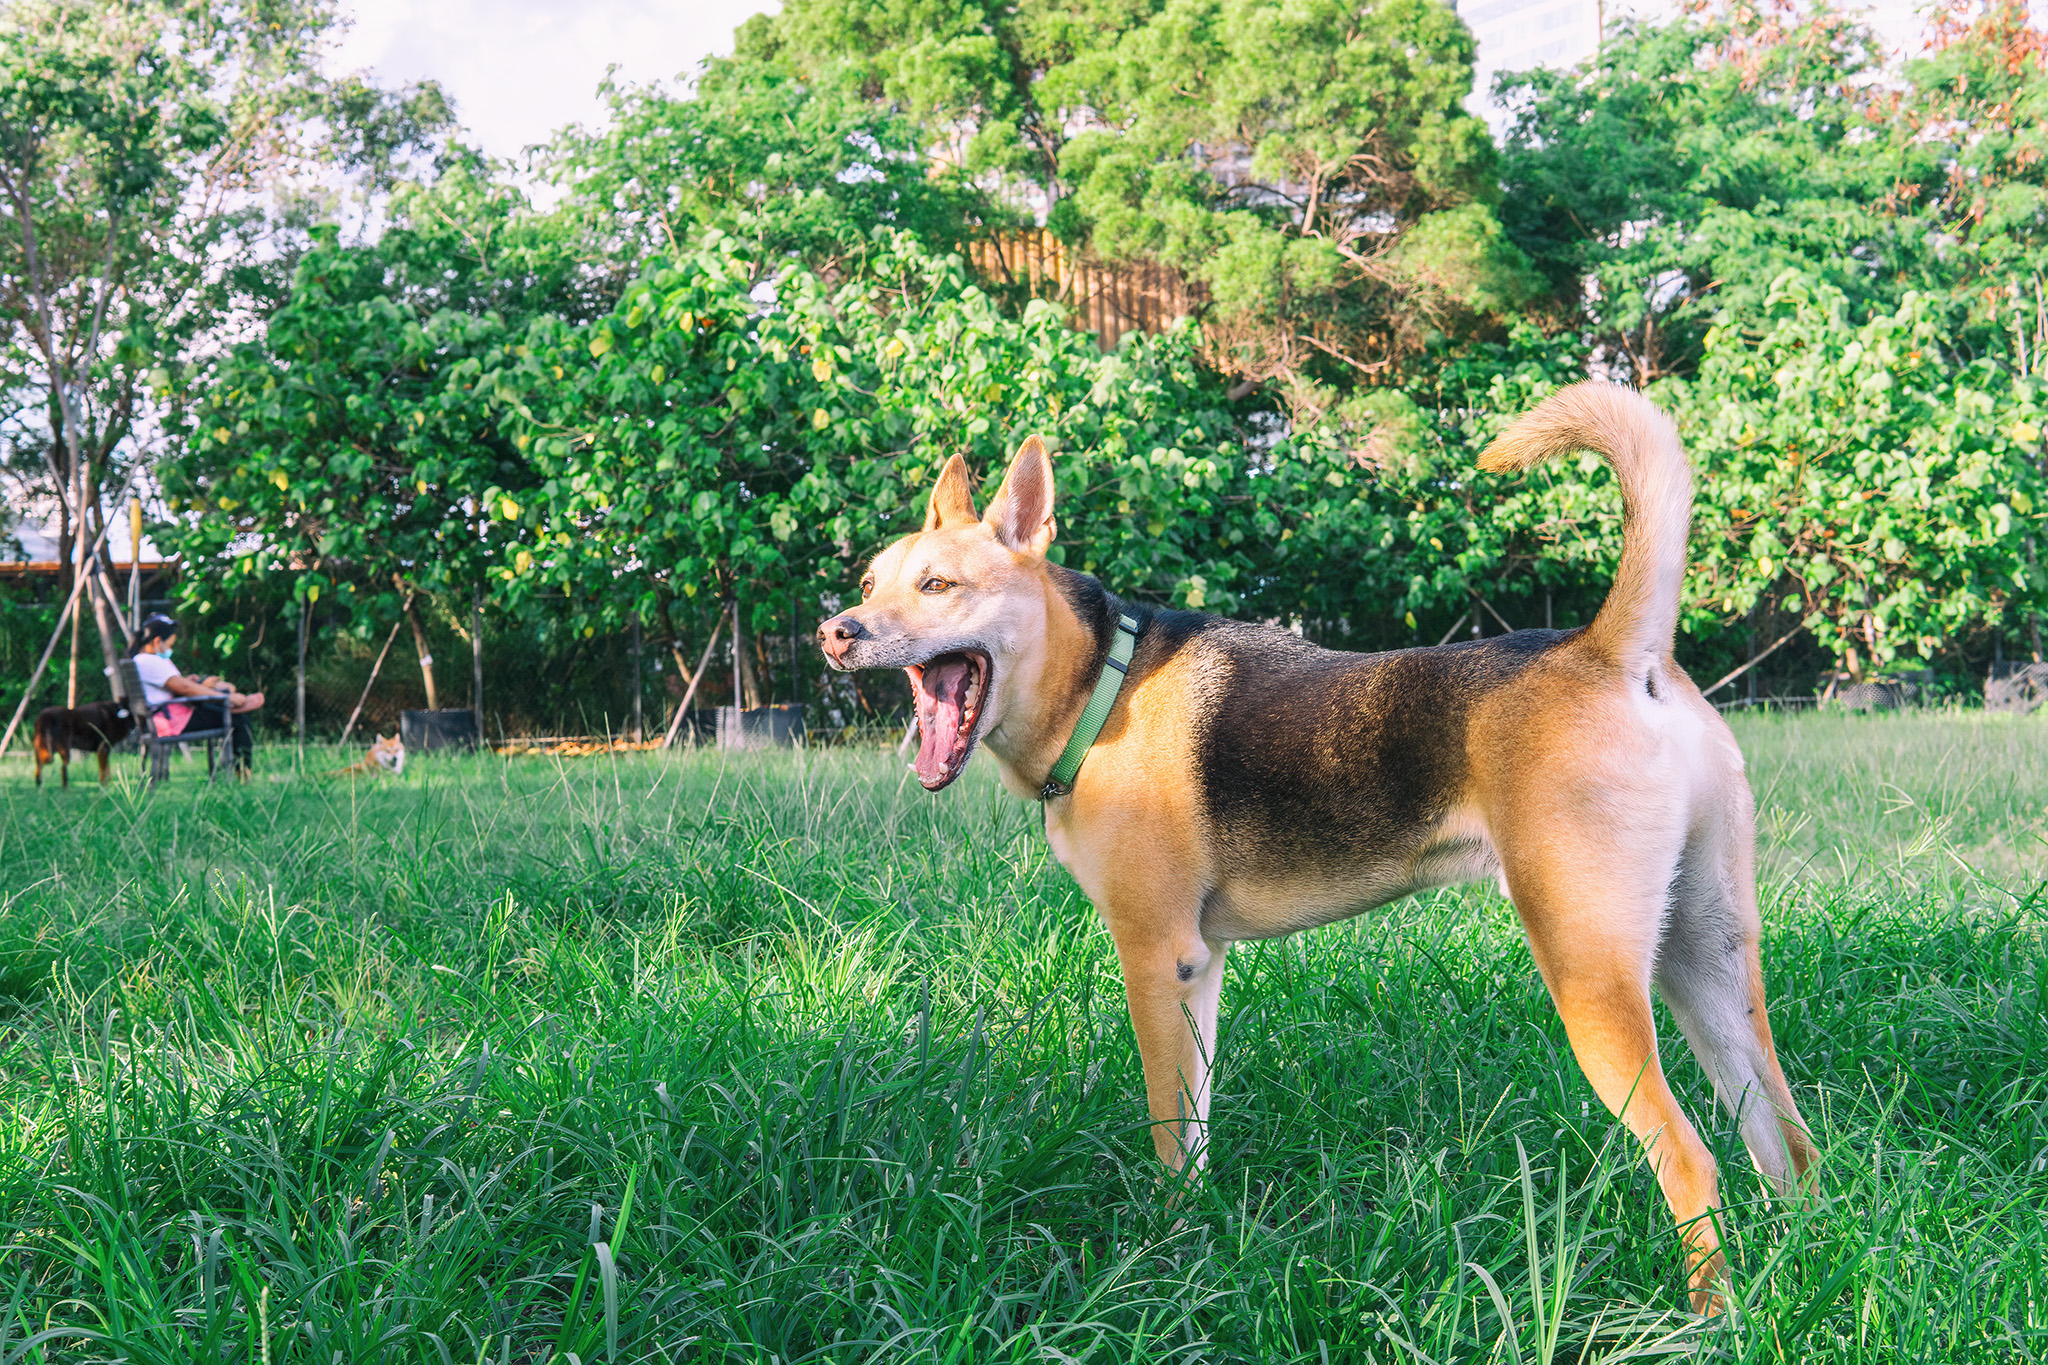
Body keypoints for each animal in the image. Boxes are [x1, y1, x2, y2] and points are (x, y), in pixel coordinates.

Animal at [815, 378, 1810, 1309]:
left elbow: (1168, 1132)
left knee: (1692, 1161)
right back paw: (1800, 1262)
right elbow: (1196, 1127)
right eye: (868, 586)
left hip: (1592, 979)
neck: (1099, 685)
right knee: (1790, 1146)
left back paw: (1708, 1314)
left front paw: (1163, 1255)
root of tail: (1609, 650)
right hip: (1706, 966)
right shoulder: (1200, 970)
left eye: (938, 585)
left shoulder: (1155, 958)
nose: (836, 632)